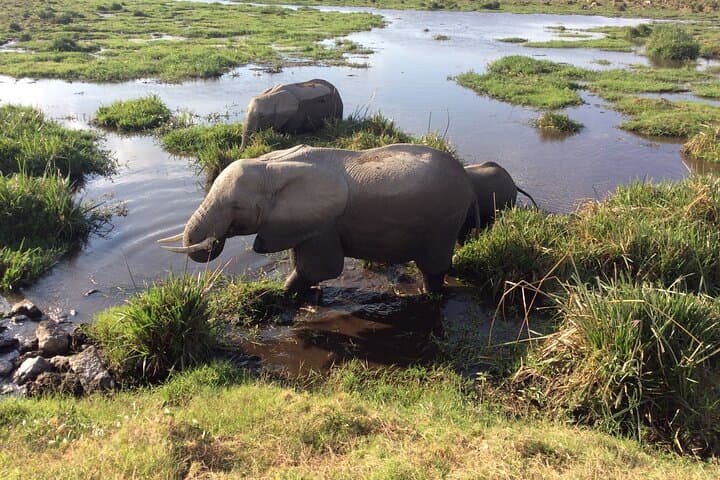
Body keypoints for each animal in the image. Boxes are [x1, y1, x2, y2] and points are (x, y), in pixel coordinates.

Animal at [159, 144, 475, 295]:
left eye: (236, 207)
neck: (272, 165)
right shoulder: (298, 222)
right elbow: (303, 262)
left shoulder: (325, 224)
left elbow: (321, 268)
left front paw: (283, 296)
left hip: (444, 220)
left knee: (433, 266)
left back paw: (429, 295)